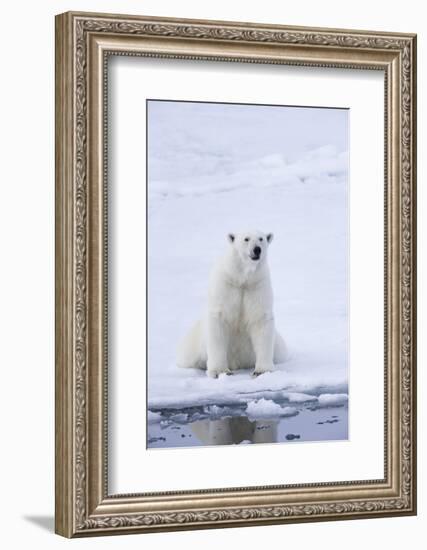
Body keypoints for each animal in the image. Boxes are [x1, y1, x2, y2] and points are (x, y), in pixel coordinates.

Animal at [177, 230, 288, 380]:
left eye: (261, 239)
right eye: (246, 239)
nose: (257, 249)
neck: (241, 278)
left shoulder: (257, 286)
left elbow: (260, 320)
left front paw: (262, 371)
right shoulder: (225, 285)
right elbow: (219, 320)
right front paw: (220, 371)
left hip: (278, 346)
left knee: (282, 353)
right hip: (193, 344)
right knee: (187, 357)